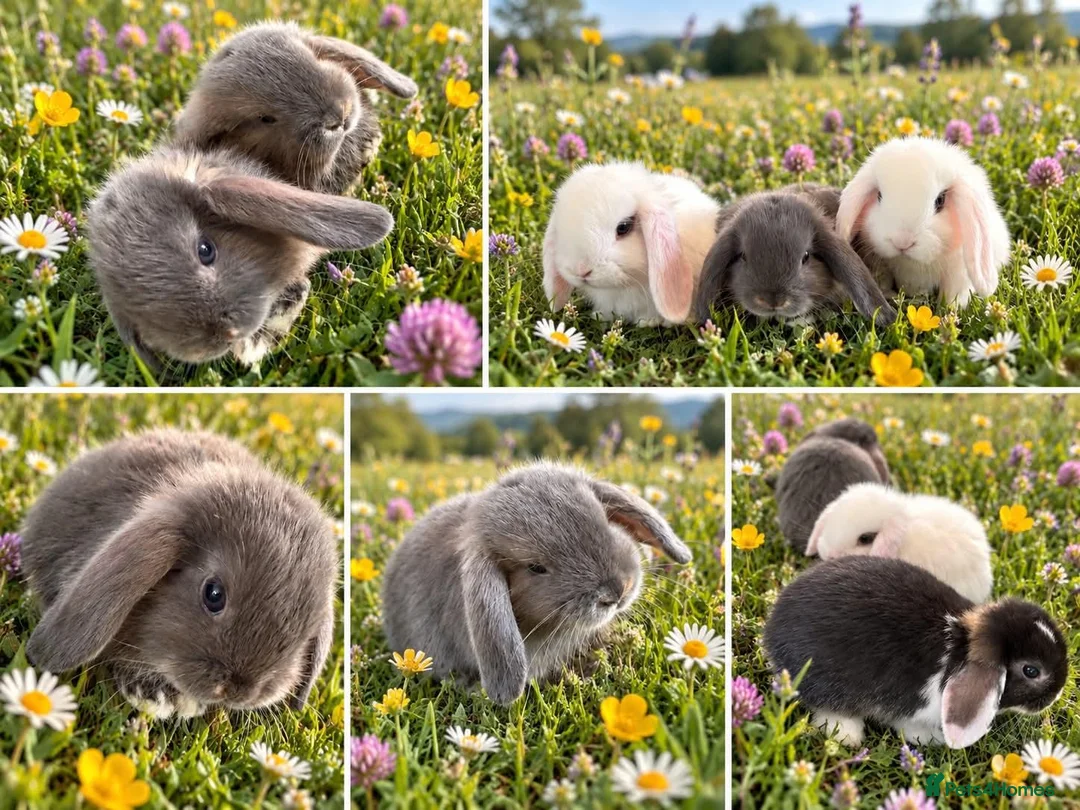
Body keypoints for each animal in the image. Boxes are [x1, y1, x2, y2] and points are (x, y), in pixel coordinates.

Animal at [764, 556, 1068, 749]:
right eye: (1031, 670)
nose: (1057, 694)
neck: (959, 650)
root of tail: (772, 631)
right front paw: (933, 739)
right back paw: (848, 735)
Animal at [836, 137, 1011, 308]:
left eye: (940, 200)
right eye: (879, 196)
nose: (902, 242)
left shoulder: (958, 274)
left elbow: (952, 296)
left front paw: (948, 311)